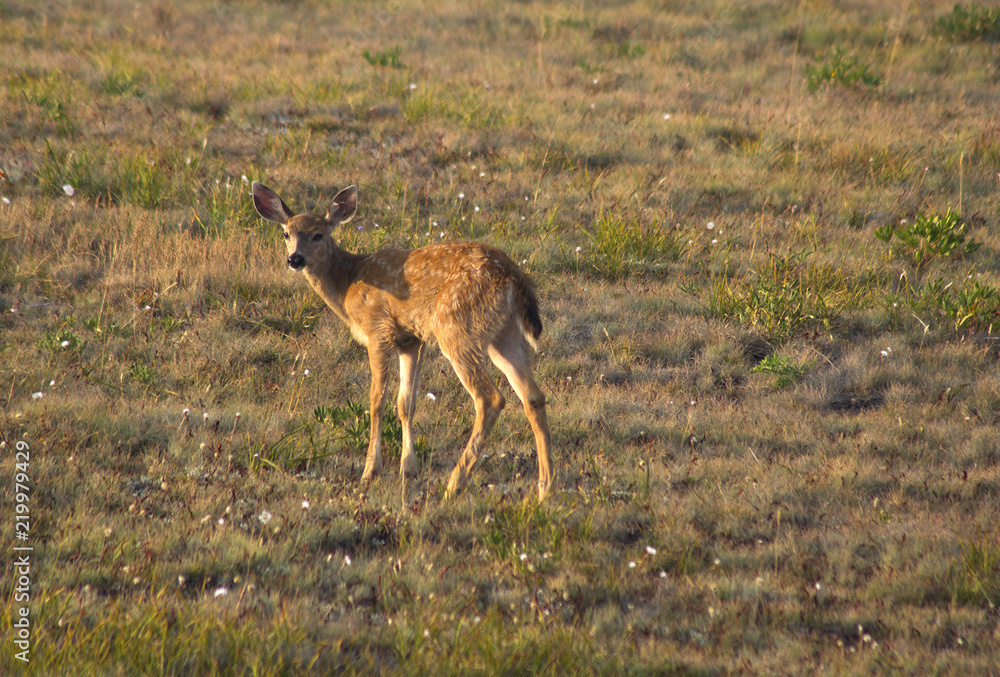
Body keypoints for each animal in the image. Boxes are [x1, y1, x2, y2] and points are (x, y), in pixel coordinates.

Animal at [251, 181, 553, 502]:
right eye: (286, 234)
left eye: (318, 234)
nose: (294, 259)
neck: (347, 283)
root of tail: (514, 277)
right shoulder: (411, 340)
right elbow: (405, 402)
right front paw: (408, 468)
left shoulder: (378, 330)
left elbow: (377, 400)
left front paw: (371, 470)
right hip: (504, 335)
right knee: (532, 396)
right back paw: (545, 487)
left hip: (455, 327)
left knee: (490, 398)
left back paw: (454, 483)